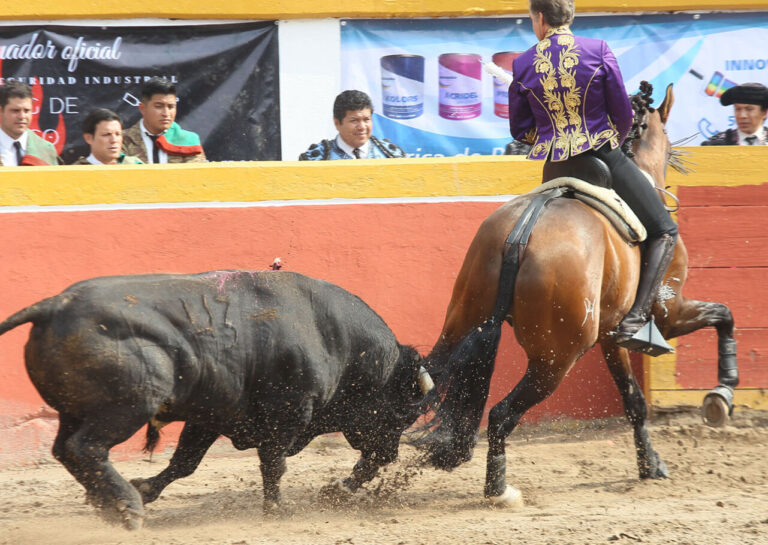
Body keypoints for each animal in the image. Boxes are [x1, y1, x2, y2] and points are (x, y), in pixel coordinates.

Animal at [0, 270, 432, 528]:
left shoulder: (209, 415)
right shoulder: (286, 414)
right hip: (125, 407)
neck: (338, 341)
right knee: (85, 447)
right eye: (401, 414)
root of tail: (56, 305)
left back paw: (110, 504)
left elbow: (184, 463)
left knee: (65, 449)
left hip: (73, 411)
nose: (389, 455)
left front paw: (147, 488)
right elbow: (273, 465)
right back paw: (125, 509)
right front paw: (276, 510)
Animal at [420, 84, 736, 506]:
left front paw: (649, 465)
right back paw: (499, 490)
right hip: (556, 358)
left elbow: (634, 400)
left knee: (420, 378)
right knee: (502, 414)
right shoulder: (669, 314)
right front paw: (721, 394)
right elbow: (723, 313)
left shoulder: (613, 336)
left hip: (460, 322)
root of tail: (522, 233)